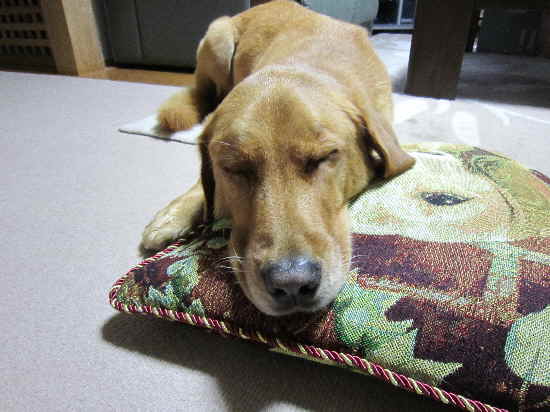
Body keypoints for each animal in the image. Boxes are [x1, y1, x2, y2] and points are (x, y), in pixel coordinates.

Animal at [139, 0, 415, 316]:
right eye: (235, 168)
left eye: (324, 157)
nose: (292, 283)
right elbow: (200, 183)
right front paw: (173, 215)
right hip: (218, 38)